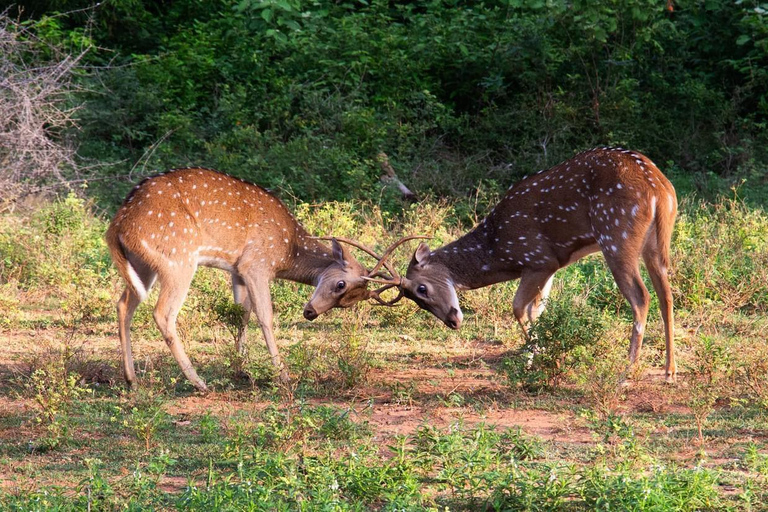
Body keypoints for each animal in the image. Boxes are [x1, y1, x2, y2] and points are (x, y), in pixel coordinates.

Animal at [106, 166, 420, 390]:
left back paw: (132, 379)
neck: (287, 252)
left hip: (143, 265)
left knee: (123, 304)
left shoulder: (237, 270)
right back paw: (198, 382)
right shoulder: (256, 264)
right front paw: (282, 374)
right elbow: (265, 315)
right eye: (340, 284)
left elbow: (241, 314)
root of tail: (117, 225)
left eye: (348, 302)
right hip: (177, 259)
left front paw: (241, 368)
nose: (310, 313)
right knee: (162, 313)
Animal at [368, 146, 676, 382]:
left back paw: (627, 372)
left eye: (421, 289)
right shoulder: (552, 265)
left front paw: (540, 360)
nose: (453, 322)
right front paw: (534, 360)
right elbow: (537, 311)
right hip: (656, 244)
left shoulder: (537, 259)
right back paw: (669, 371)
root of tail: (658, 189)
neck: (498, 249)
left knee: (641, 297)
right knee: (666, 295)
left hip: (615, 236)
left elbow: (519, 308)